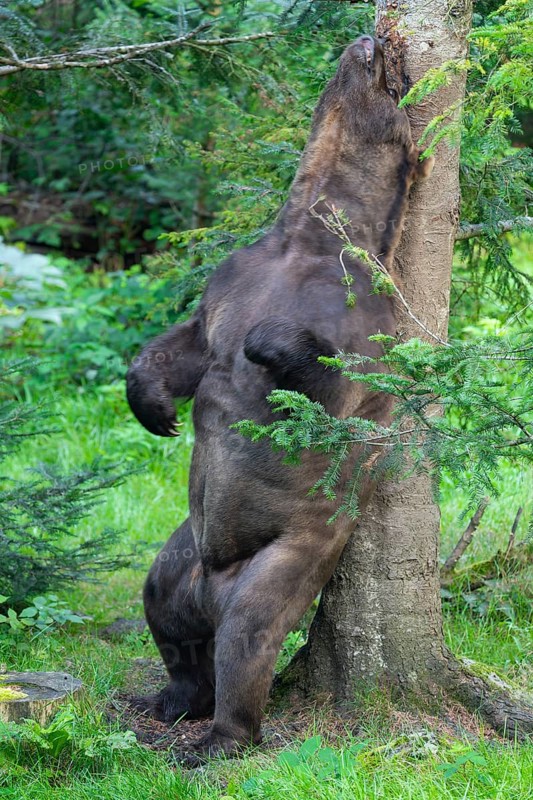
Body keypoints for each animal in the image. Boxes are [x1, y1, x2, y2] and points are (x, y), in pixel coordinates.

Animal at [126, 35, 433, 759]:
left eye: (393, 80)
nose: (374, 39)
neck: (309, 235)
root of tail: (212, 588)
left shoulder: (362, 318)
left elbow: (325, 384)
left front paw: (265, 343)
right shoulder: (232, 281)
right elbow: (183, 345)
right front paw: (153, 407)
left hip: (284, 553)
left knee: (248, 637)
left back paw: (220, 737)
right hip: (183, 555)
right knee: (164, 609)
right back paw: (171, 698)